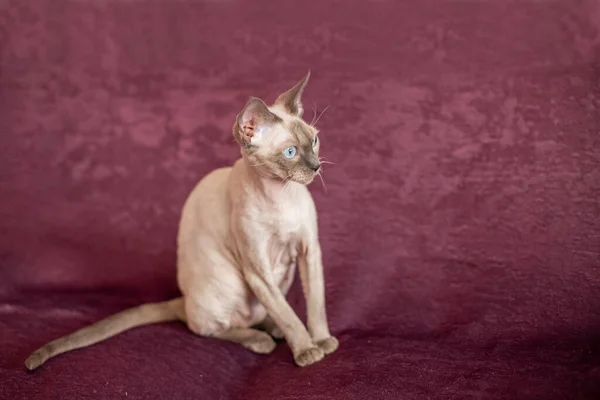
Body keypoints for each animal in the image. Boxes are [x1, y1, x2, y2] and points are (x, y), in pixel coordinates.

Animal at [24, 72, 338, 372]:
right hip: (230, 284)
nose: (316, 167)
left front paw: (321, 341)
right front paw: (306, 350)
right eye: (290, 152)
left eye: (314, 140)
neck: (281, 196)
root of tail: (184, 300)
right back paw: (262, 340)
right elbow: (288, 315)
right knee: (209, 327)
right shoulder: (257, 268)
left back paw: (274, 331)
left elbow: (315, 304)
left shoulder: (310, 250)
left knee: (262, 314)